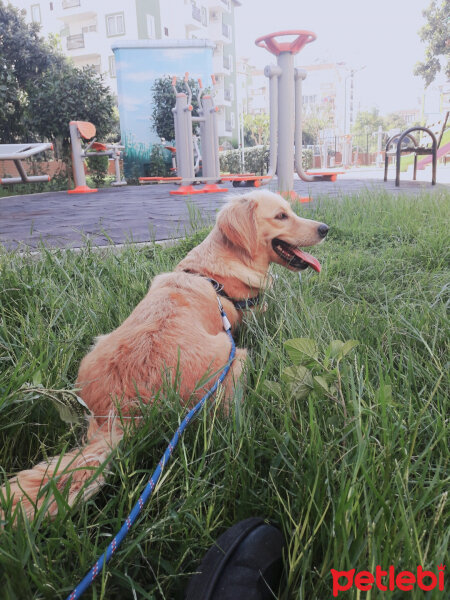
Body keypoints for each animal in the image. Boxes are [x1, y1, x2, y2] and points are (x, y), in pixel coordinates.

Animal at [1, 190, 328, 516]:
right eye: (281, 216)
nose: (325, 228)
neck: (215, 272)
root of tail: (124, 410)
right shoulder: (253, 317)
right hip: (235, 360)